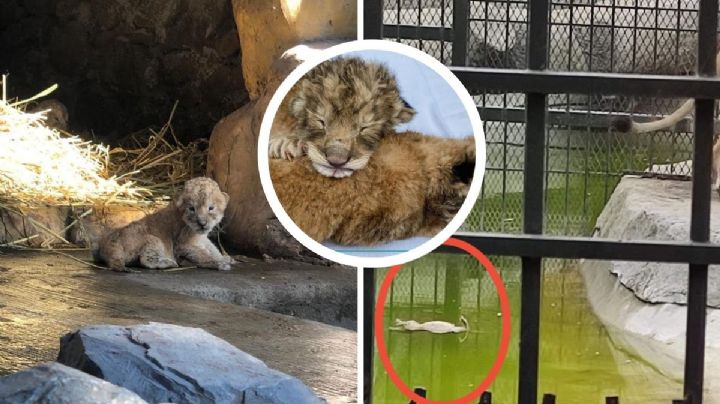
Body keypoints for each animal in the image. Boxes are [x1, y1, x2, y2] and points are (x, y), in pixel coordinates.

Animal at [96, 177, 236, 271]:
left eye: (211, 208)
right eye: (192, 209)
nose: (202, 223)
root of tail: (107, 246)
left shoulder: (202, 239)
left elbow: (212, 248)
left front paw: (225, 258)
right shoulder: (183, 245)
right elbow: (203, 255)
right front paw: (219, 263)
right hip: (154, 239)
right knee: (145, 261)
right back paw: (169, 263)